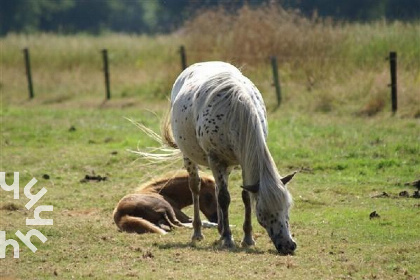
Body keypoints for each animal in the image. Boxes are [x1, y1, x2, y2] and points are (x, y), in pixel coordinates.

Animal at [162, 62, 296, 255]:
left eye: (287, 207)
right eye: (264, 213)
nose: (288, 245)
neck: (235, 113)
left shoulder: (243, 161)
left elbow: (245, 196)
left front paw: (247, 238)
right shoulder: (215, 159)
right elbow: (225, 198)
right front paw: (228, 238)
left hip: (227, 165)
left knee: (218, 188)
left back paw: (220, 230)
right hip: (190, 157)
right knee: (196, 188)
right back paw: (198, 232)